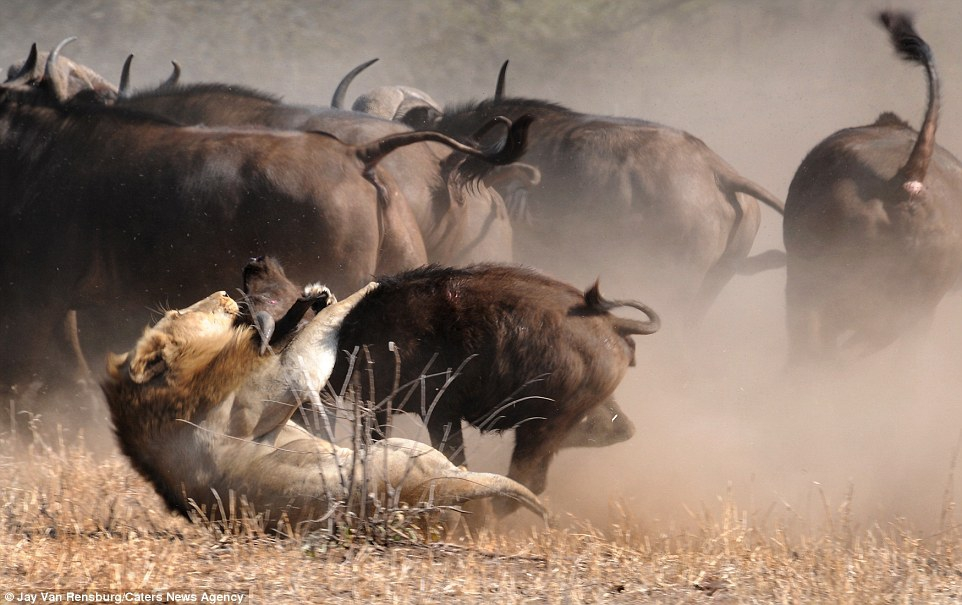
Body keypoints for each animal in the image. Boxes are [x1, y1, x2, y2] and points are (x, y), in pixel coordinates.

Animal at [102, 286, 548, 532]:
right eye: (179, 313)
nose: (225, 294)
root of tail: (437, 490)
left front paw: (310, 301)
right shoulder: (268, 393)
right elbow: (315, 337)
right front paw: (361, 288)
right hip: (408, 454)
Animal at [240, 258, 656, 516]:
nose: (255, 263)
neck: (356, 329)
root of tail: (612, 323)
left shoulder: (425, 412)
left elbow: (451, 459)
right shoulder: (396, 410)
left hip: (541, 427)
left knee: (531, 479)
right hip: (570, 418)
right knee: (605, 435)